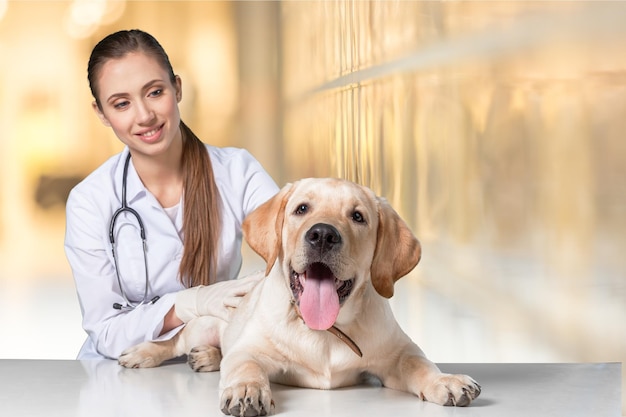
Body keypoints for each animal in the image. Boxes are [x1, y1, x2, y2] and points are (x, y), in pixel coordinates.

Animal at [118, 177, 478, 414]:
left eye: (358, 216)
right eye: (302, 209)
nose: (322, 235)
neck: (325, 331)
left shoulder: (396, 352)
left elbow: (418, 363)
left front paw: (445, 380)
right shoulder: (250, 349)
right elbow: (245, 365)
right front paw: (247, 390)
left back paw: (206, 356)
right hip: (204, 323)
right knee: (175, 340)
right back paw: (144, 353)